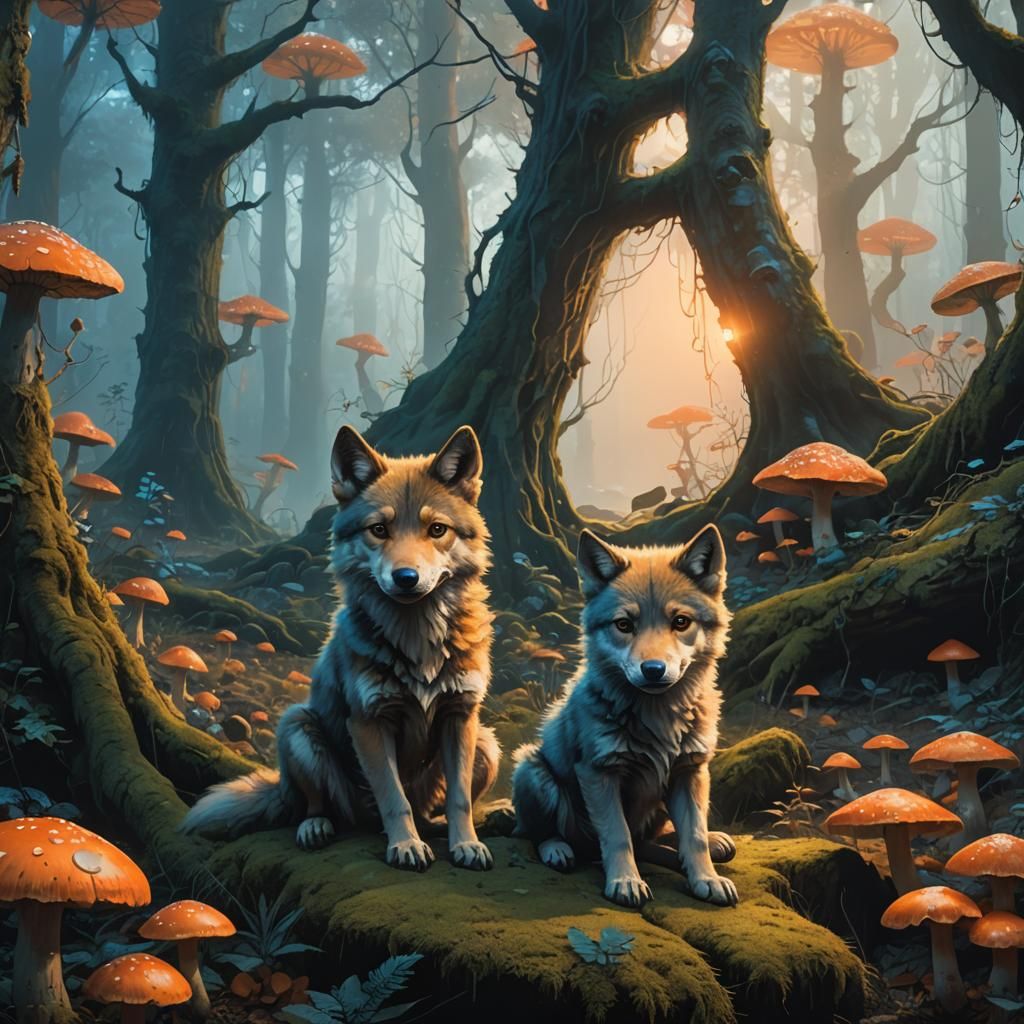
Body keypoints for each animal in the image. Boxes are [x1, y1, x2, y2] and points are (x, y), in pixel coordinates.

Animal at [182, 425, 499, 872]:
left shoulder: (462, 716)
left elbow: (459, 799)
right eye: (378, 530)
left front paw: (466, 844)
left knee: (429, 809)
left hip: (488, 743)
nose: (406, 577)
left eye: (437, 530)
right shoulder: (368, 722)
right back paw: (316, 827)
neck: (416, 638)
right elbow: (393, 798)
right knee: (320, 806)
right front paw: (405, 845)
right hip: (297, 727)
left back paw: (449, 823)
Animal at [512, 525, 738, 908]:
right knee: (541, 834)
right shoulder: (599, 773)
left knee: (655, 842)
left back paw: (713, 841)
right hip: (531, 769)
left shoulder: (690, 771)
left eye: (680, 622)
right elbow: (618, 837)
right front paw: (626, 883)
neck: (658, 720)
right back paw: (558, 850)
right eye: (624, 624)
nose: (653, 670)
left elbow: (693, 836)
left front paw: (706, 879)